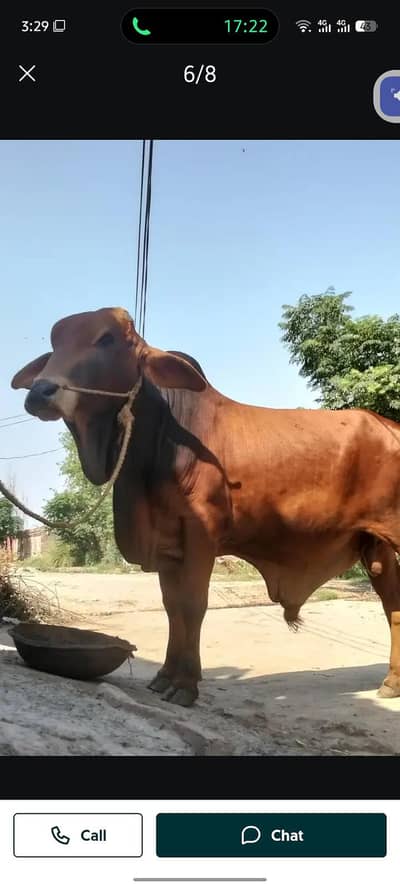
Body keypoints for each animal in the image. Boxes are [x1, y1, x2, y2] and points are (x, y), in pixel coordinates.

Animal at [11, 306, 400, 707]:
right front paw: (165, 676)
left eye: (107, 339)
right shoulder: (168, 544)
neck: (160, 440)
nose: (40, 391)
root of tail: (390, 428)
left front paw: (185, 685)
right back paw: (391, 682)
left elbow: (192, 604)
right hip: (375, 545)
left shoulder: (201, 532)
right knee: (393, 605)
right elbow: (172, 607)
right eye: (55, 343)